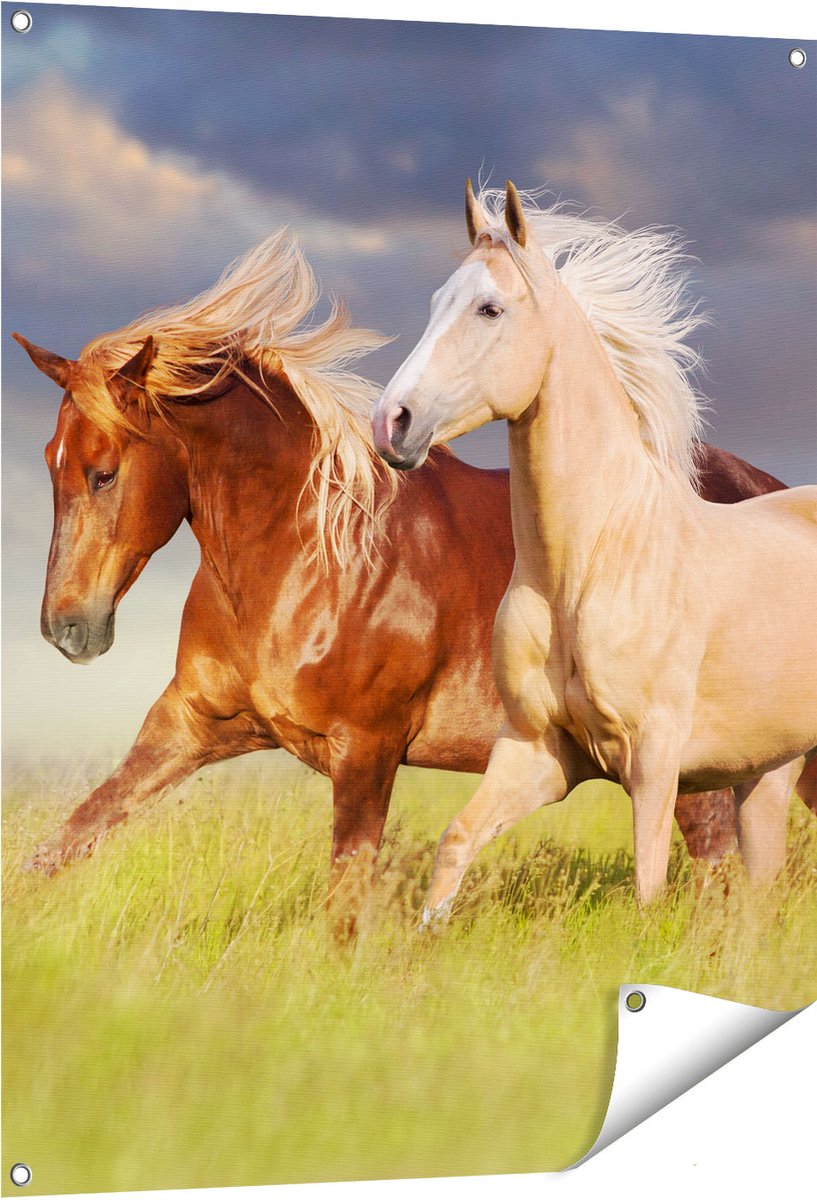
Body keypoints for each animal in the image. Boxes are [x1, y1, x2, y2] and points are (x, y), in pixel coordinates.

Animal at [371, 181, 817, 920]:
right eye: (436, 301)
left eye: (489, 308)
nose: (390, 423)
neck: (588, 568)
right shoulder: (537, 752)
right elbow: (455, 845)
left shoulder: (654, 762)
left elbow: (647, 886)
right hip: (768, 772)